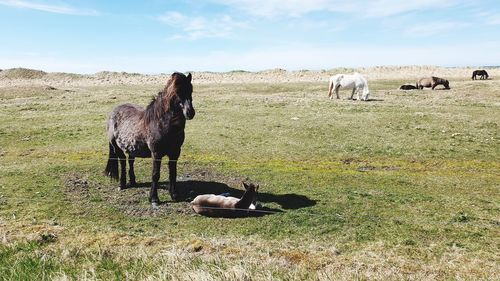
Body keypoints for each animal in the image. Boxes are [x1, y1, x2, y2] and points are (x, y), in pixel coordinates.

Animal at [103, 71, 193, 205]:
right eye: (177, 92)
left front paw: (174, 195)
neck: (161, 123)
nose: (190, 112)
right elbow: (155, 175)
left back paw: (133, 181)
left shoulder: (175, 153)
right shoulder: (156, 153)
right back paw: (122, 184)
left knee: (130, 161)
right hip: (116, 147)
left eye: (191, 90)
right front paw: (154, 198)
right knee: (122, 162)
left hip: (131, 148)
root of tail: (114, 111)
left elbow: (173, 173)